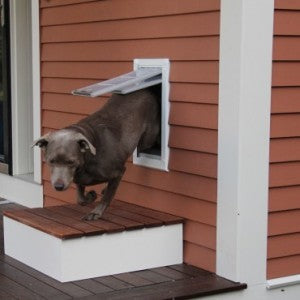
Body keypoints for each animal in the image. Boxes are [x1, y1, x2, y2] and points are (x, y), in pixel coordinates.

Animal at [33, 86, 161, 220]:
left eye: (71, 162)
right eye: (51, 161)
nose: (58, 187)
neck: (87, 160)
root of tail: (146, 90)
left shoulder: (118, 172)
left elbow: (108, 196)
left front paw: (96, 212)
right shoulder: (78, 177)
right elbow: (80, 198)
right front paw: (91, 196)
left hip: (147, 138)